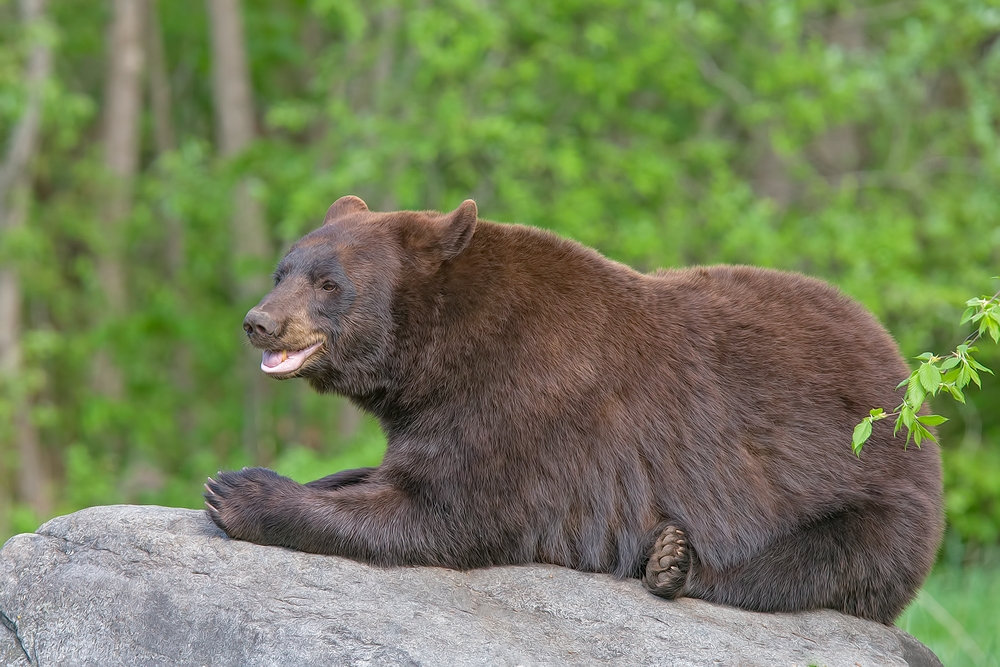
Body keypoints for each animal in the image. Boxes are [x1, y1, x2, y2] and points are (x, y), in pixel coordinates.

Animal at [205, 194, 944, 628]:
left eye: (329, 283)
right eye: (283, 269)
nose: (258, 322)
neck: (440, 353)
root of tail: (901, 371)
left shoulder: (525, 402)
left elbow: (442, 513)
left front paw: (242, 491)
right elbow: (388, 476)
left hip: (874, 492)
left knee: (817, 564)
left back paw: (674, 564)